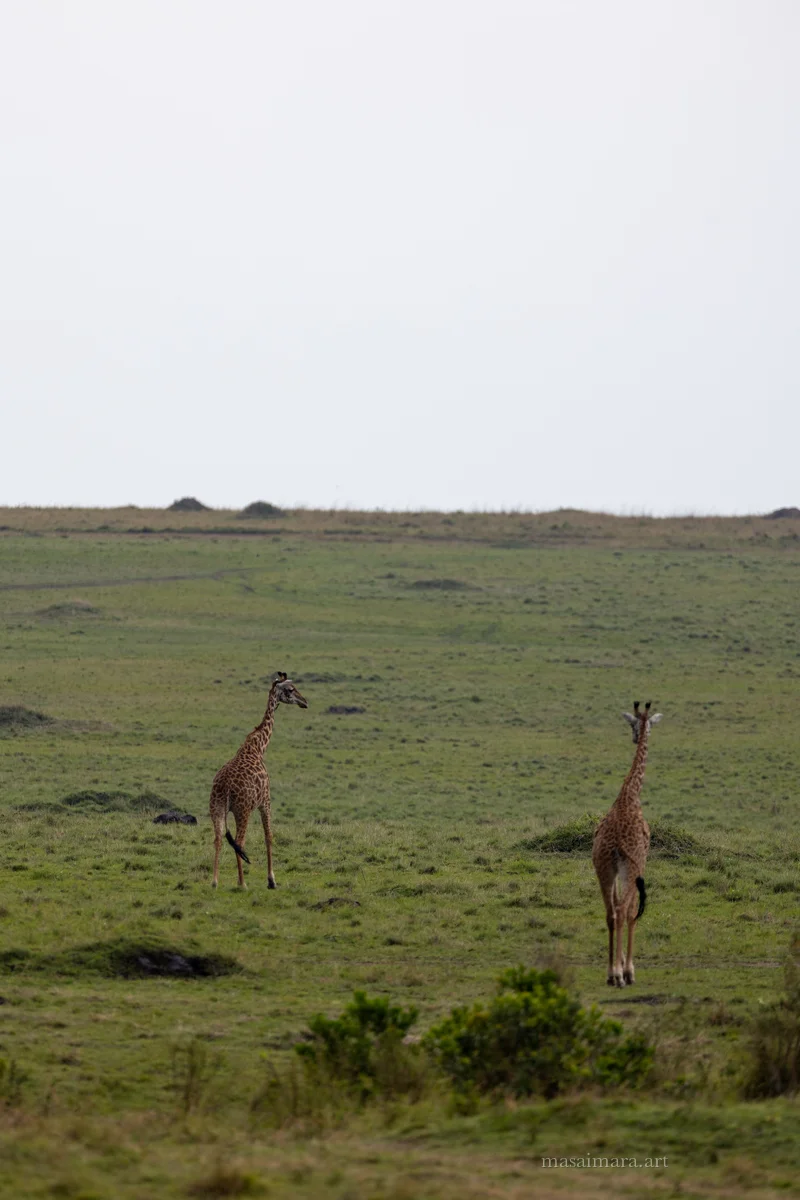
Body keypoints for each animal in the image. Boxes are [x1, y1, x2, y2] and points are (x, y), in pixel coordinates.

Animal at [210, 673, 308, 889]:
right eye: (291, 689)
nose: (304, 702)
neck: (259, 746)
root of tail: (225, 788)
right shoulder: (266, 800)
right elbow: (269, 836)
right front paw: (271, 880)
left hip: (217, 808)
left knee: (218, 838)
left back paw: (214, 881)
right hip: (243, 809)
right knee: (239, 841)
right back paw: (242, 883)